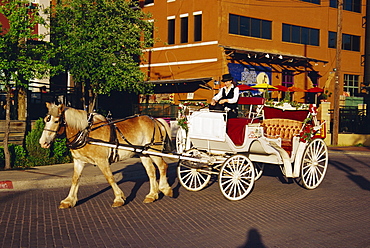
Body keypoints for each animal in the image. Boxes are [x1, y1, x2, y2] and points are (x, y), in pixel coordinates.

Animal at [39, 101, 173, 208]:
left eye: (56, 121)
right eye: (46, 120)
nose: (42, 142)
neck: (85, 133)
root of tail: (156, 120)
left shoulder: (101, 160)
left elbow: (110, 178)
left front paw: (119, 198)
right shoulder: (79, 161)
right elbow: (75, 179)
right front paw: (69, 200)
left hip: (154, 151)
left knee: (162, 166)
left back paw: (165, 189)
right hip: (144, 153)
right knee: (151, 171)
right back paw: (152, 195)